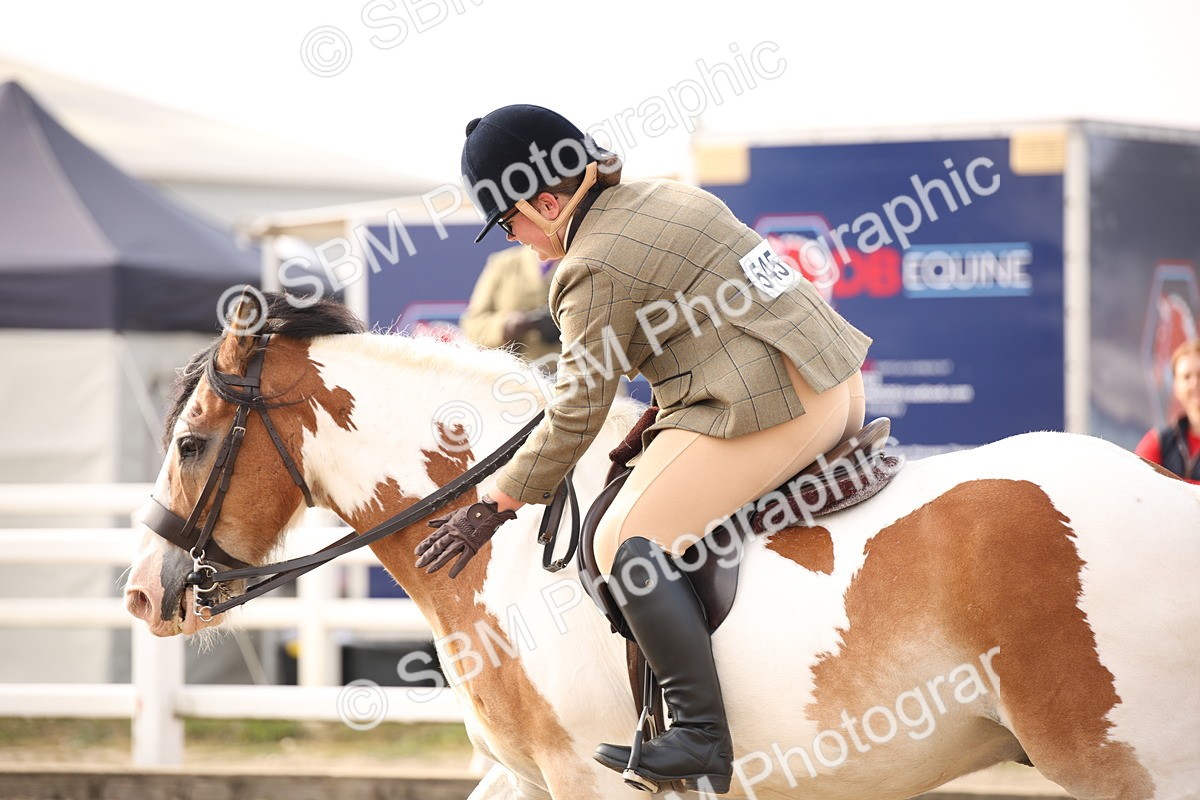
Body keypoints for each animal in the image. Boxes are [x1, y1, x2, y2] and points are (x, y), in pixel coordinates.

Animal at [124, 296, 1200, 800]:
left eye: (191, 443)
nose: (143, 592)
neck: (501, 550)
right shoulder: (526, 774)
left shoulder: (587, 775)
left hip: (1137, 757)